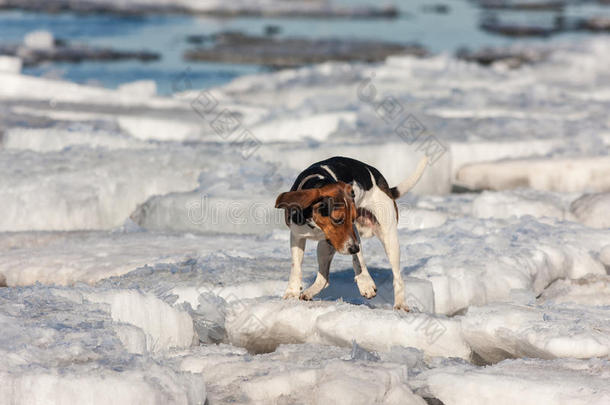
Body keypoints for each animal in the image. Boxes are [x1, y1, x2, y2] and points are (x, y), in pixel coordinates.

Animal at [276, 155, 428, 310]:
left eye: (353, 218)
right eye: (337, 219)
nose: (354, 248)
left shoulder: (353, 234)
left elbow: (358, 259)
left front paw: (365, 283)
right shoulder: (297, 236)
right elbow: (296, 266)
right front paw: (292, 292)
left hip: (389, 238)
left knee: (397, 277)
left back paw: (401, 305)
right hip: (325, 247)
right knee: (324, 278)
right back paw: (309, 292)